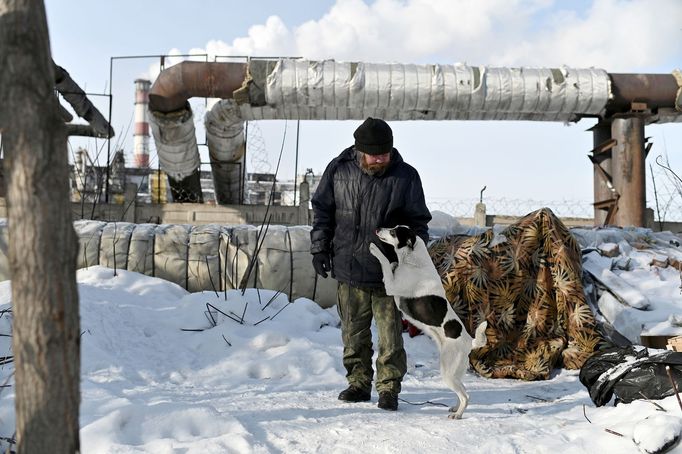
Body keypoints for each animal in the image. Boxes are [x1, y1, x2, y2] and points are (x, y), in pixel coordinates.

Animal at [370, 225, 486, 420]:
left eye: (393, 231)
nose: (378, 229)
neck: (413, 260)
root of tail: (470, 342)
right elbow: (391, 265)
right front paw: (393, 263)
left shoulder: (392, 286)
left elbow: (385, 262)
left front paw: (374, 249)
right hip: (455, 372)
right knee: (463, 393)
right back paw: (455, 409)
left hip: (447, 371)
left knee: (465, 396)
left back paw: (458, 415)